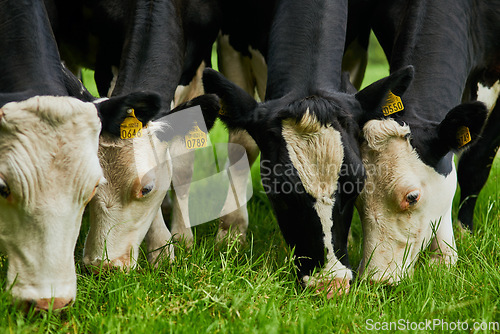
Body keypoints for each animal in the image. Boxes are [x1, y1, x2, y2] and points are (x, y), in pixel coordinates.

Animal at [203, 0, 422, 296]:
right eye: (278, 195)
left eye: (356, 186)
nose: (331, 285)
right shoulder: (232, 42)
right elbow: (243, 143)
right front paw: (231, 235)